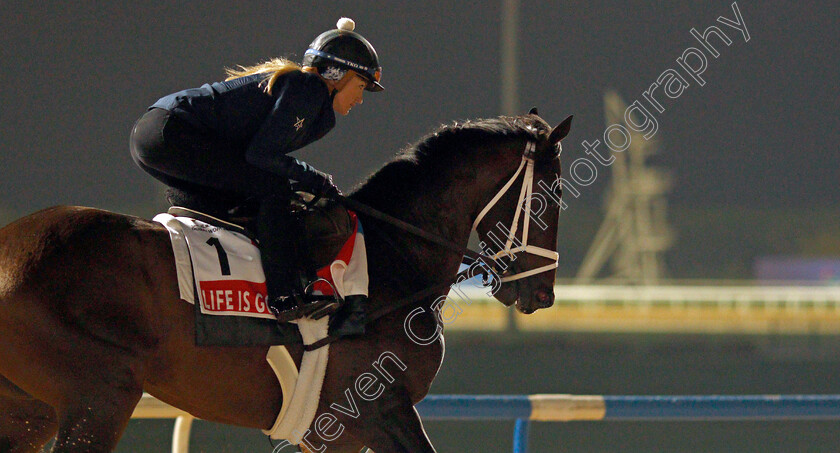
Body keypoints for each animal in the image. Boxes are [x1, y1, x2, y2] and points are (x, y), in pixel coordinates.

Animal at [0, 110, 572, 452]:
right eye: (553, 193)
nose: (542, 294)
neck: (392, 255)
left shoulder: (332, 431)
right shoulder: (376, 408)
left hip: (29, 412)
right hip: (101, 395)